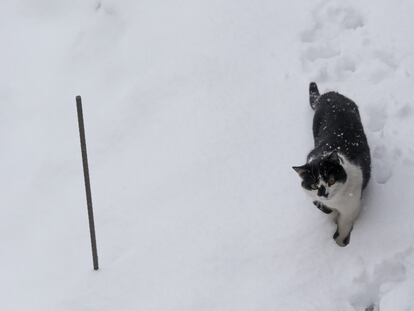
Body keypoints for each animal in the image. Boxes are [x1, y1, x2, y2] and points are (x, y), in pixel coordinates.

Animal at [292, 83, 370, 249]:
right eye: (314, 186)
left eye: (331, 180)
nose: (323, 194)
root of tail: (329, 94)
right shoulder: (318, 201)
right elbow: (327, 211)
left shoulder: (351, 208)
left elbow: (344, 226)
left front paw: (340, 244)